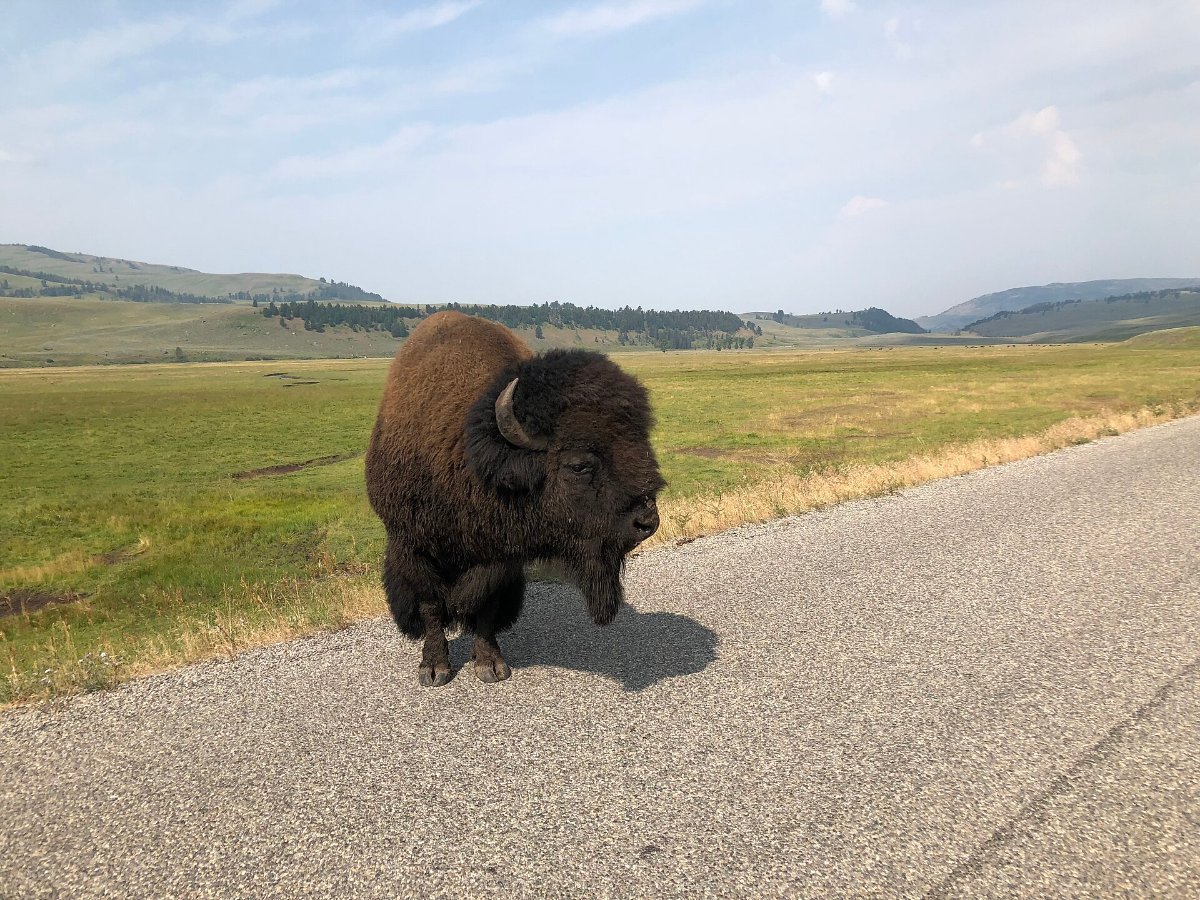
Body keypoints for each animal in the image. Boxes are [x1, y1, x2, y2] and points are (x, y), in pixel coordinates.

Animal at [365, 311, 663, 686]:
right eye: (578, 465)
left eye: (641, 446)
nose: (646, 521)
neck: (470, 455)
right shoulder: (413, 546)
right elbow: (431, 605)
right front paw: (434, 668)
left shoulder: (500, 559)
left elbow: (485, 607)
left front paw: (490, 664)